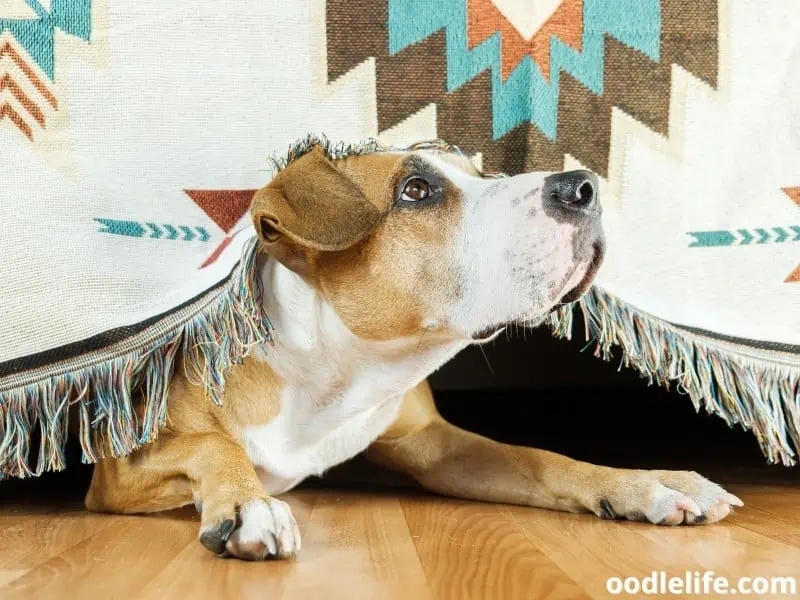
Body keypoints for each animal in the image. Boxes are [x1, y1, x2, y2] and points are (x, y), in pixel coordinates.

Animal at [84, 143, 740, 560]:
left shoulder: (434, 444)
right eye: (416, 190)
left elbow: (539, 458)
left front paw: (646, 484)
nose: (583, 185)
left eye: (482, 173)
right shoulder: (123, 467)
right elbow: (212, 443)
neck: (335, 374)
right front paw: (249, 506)